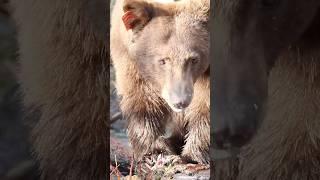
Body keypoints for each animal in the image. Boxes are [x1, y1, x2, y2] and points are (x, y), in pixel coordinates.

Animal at [110, 0, 210, 163]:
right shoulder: (128, 54)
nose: (180, 102)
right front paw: (155, 151)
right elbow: (141, 98)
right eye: (162, 60)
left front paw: (192, 155)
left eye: (194, 59)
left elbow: (205, 102)